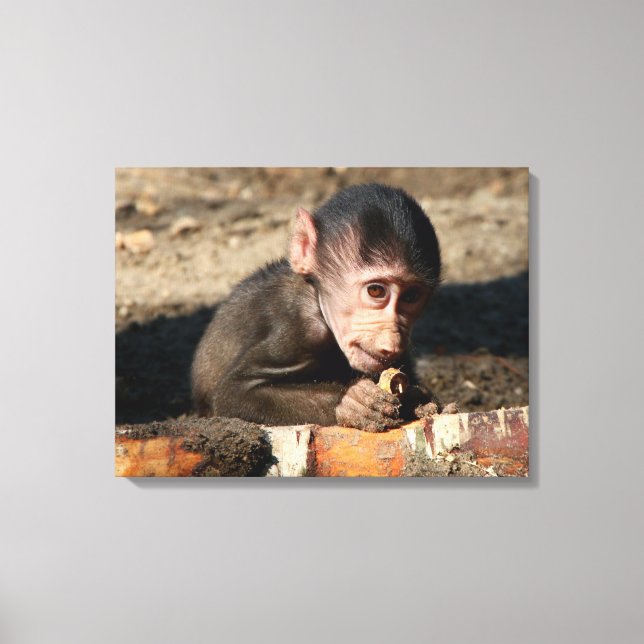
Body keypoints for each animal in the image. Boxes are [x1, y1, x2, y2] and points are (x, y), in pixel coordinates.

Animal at [191, 183, 441, 431]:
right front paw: (353, 402)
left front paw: (419, 399)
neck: (316, 297)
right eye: (376, 291)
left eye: (411, 296)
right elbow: (234, 393)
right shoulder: (299, 329)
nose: (391, 343)